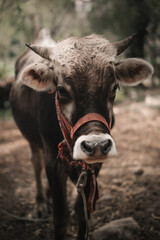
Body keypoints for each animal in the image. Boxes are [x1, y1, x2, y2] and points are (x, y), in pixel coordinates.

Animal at [9, 28, 153, 240]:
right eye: (61, 90)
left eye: (114, 87)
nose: (96, 145)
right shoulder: (52, 159)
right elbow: (61, 217)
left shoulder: (96, 165)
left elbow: (81, 213)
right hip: (32, 141)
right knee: (35, 163)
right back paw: (41, 204)